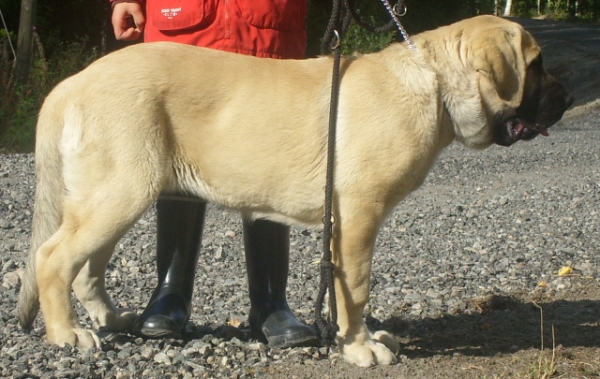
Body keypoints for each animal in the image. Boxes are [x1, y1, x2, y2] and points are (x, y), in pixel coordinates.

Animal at [17, 15, 572, 368]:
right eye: (536, 65)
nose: (566, 96)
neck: (433, 85)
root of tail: (69, 84)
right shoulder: (358, 216)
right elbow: (355, 288)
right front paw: (359, 347)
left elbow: (347, 290)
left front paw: (362, 337)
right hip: (121, 191)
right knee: (53, 259)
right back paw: (67, 335)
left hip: (113, 194)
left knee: (84, 268)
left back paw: (112, 318)